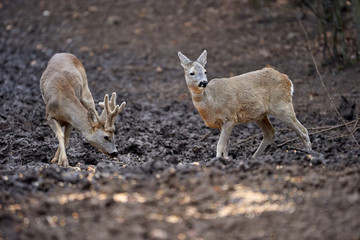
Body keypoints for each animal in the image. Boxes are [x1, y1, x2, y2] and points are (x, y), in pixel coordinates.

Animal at [179, 50, 310, 158]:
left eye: (205, 71)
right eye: (192, 73)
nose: (203, 82)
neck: (211, 103)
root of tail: (287, 79)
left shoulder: (230, 117)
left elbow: (220, 145)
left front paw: (217, 161)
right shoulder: (221, 124)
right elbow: (226, 146)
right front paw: (226, 159)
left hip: (281, 105)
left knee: (303, 130)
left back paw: (309, 154)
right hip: (260, 115)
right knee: (270, 132)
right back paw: (254, 157)